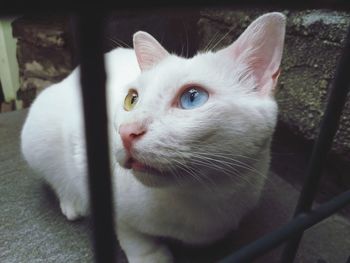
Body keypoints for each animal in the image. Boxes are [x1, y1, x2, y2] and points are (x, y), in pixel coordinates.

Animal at [20, 12, 286, 263]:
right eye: (131, 100)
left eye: (192, 97)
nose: (127, 132)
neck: (200, 197)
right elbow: (129, 230)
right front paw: (150, 255)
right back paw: (72, 202)